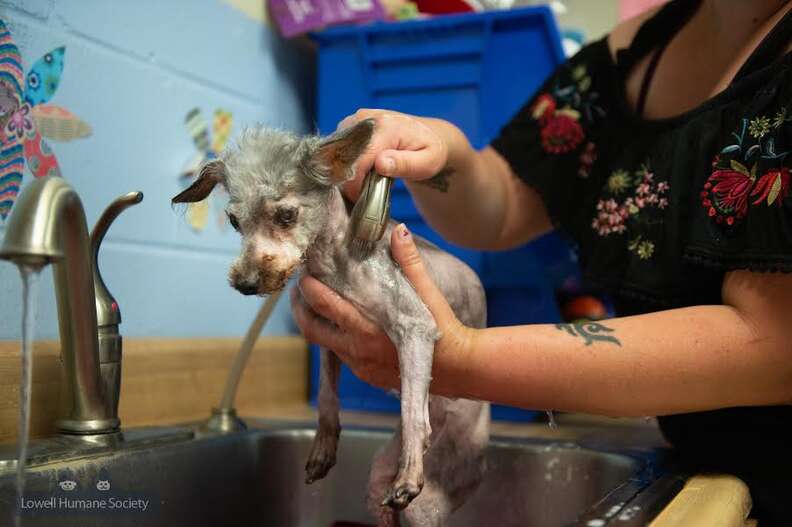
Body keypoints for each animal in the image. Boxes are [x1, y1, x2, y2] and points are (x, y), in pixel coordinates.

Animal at [173, 120, 488, 527]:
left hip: (427, 505)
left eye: (286, 216)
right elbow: (325, 392)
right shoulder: (329, 334)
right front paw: (323, 448)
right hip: (378, 487)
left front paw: (410, 472)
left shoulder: (415, 324)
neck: (331, 260)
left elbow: (411, 412)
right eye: (233, 221)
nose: (246, 284)